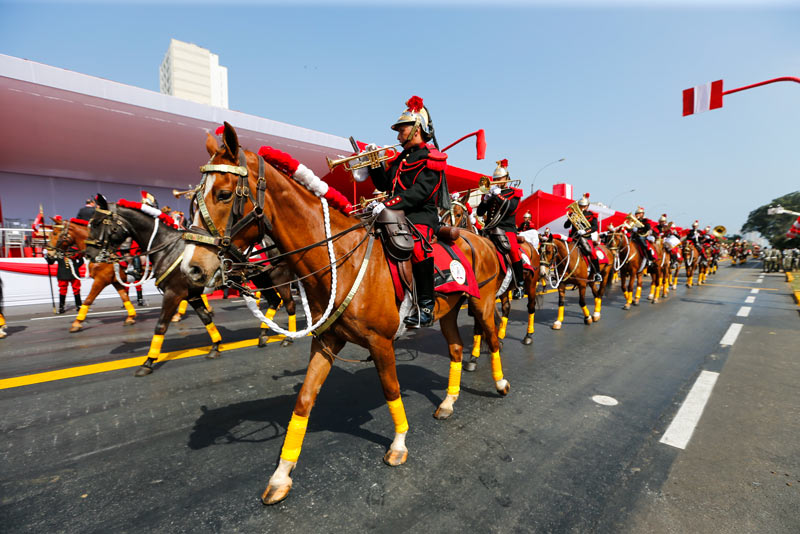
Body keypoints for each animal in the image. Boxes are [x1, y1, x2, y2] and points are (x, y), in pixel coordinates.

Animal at [182, 124, 510, 506]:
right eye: (194, 198)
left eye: (222, 194)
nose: (191, 268)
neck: (340, 257)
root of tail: (480, 238)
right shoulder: (327, 340)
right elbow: (304, 401)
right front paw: (281, 476)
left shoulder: (381, 343)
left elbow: (391, 389)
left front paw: (399, 444)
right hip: (448, 312)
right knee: (456, 348)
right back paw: (447, 402)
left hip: (482, 304)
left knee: (492, 338)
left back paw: (500, 384)